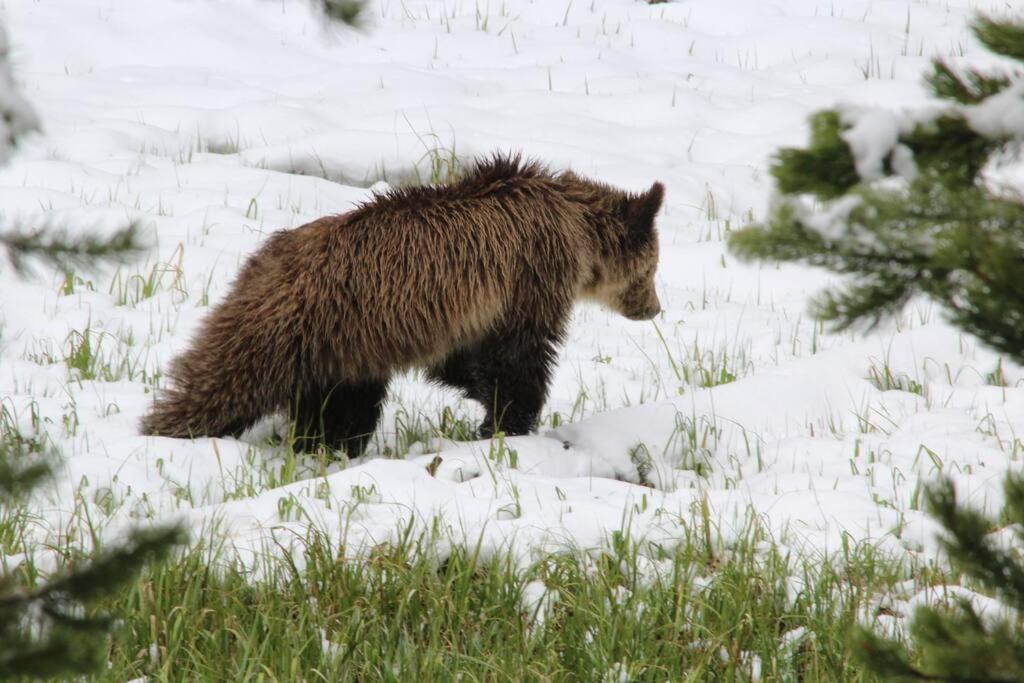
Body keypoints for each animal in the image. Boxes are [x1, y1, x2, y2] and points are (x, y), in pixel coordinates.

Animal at [142, 154, 663, 454]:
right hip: (291, 324)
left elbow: (465, 363)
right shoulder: (528, 282)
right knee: (222, 383)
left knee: (339, 406)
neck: (577, 234)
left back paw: (324, 446)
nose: (655, 308)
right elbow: (517, 363)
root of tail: (259, 261)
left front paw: (486, 408)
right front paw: (509, 422)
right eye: (655, 268)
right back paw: (166, 433)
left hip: (339, 347)